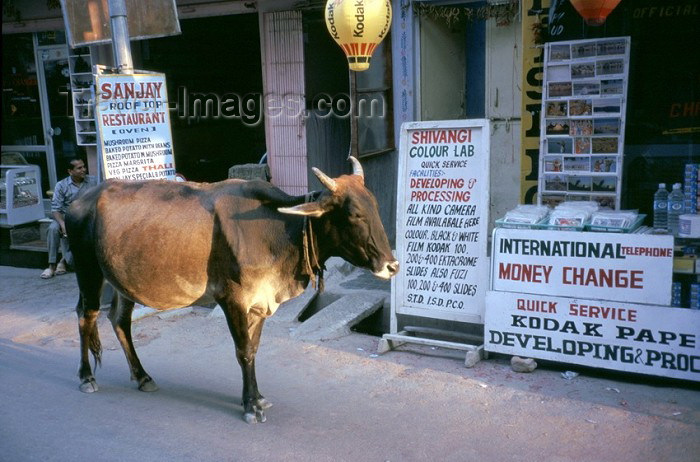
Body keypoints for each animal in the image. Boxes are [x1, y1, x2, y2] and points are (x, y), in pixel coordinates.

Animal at [67, 158, 400, 422]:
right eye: (354, 214)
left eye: (374, 206)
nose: (392, 266)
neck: (278, 230)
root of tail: (82, 200)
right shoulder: (232, 299)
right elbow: (243, 351)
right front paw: (251, 406)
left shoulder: (261, 302)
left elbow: (253, 347)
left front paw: (256, 397)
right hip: (88, 273)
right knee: (86, 316)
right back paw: (86, 377)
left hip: (122, 282)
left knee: (119, 321)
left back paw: (142, 376)